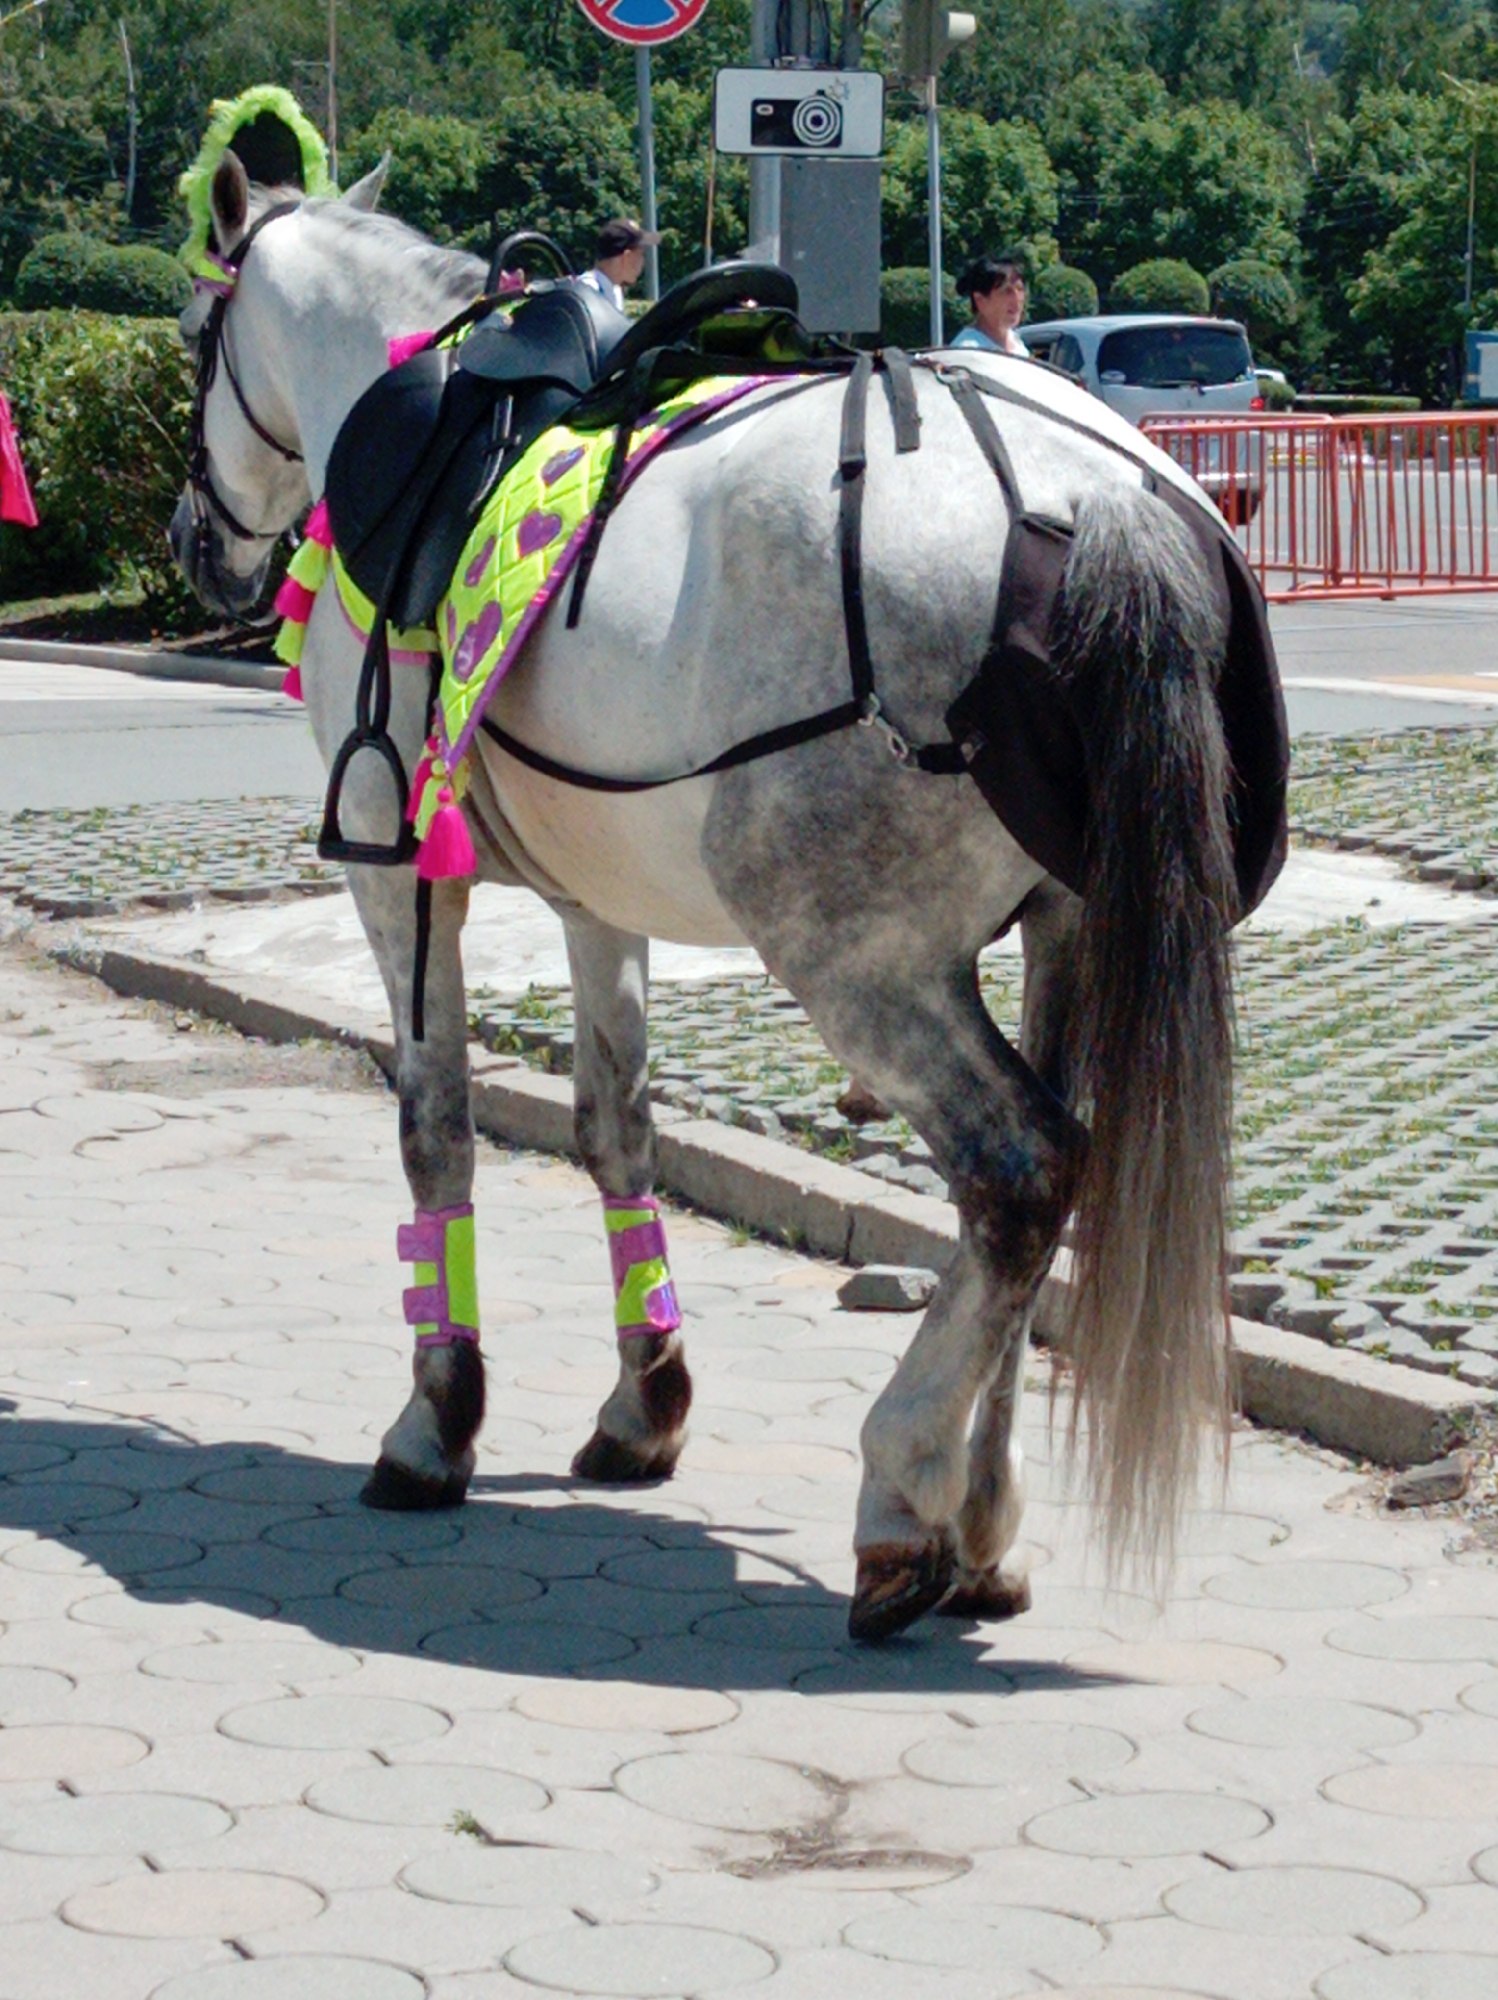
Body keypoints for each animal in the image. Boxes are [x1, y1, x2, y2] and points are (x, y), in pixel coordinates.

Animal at [170, 152, 1286, 1643]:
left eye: (195, 334)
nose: (195, 543)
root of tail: (1101, 503)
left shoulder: (399, 876)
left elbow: (435, 1130)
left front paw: (435, 1423)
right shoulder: (595, 901)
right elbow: (614, 1128)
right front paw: (644, 1405)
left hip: (858, 960)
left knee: (1019, 1174)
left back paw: (900, 1497)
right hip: (1067, 932)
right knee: (1055, 1183)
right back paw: (983, 1523)